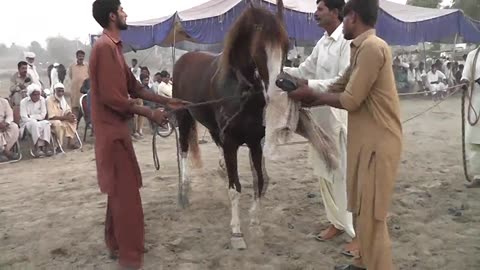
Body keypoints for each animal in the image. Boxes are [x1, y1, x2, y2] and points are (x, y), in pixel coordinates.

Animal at [173, 0, 288, 249]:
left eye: (286, 46)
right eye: (259, 49)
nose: (277, 95)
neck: (240, 89)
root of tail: (184, 59)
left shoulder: (254, 141)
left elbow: (259, 180)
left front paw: (255, 220)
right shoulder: (231, 141)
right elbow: (235, 187)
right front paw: (236, 232)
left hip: (215, 128)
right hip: (183, 117)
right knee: (184, 149)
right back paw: (184, 191)